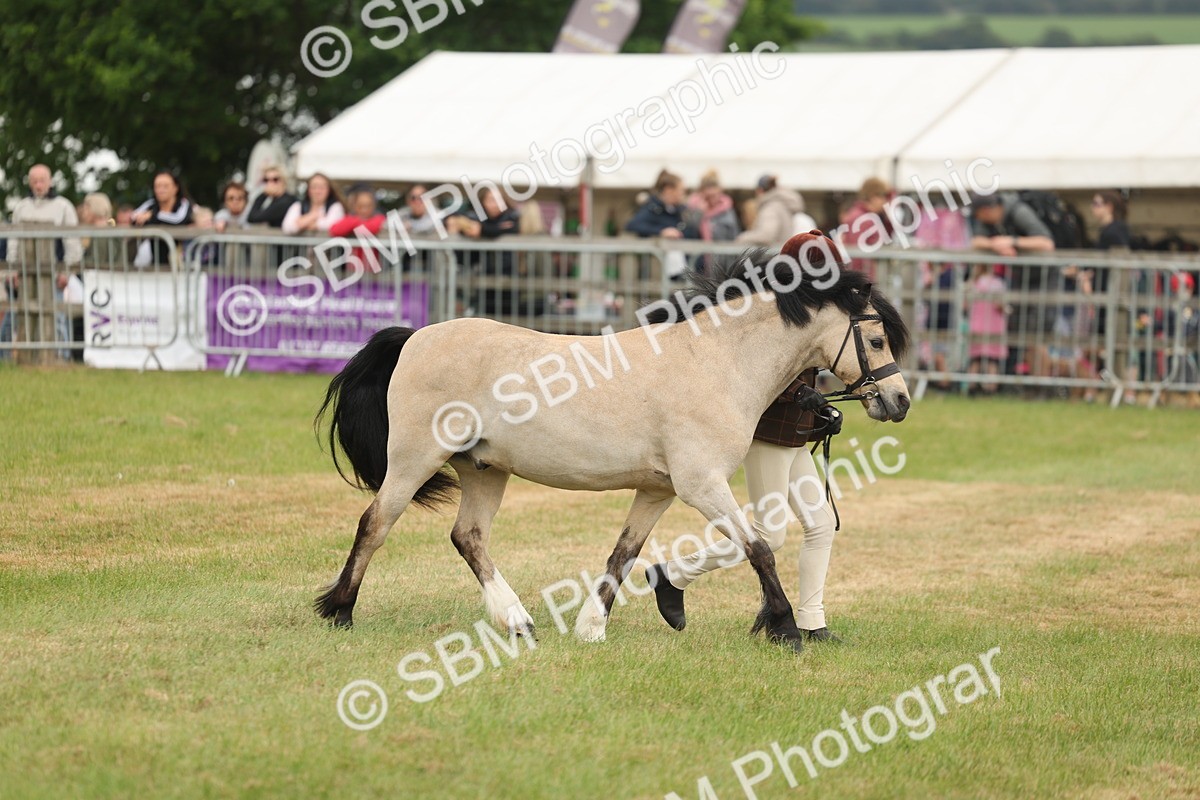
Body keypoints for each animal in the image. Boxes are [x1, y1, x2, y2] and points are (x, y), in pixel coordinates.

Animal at [314, 237, 910, 653]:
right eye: (877, 338)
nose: (899, 401)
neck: (717, 361)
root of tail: (415, 337)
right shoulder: (702, 485)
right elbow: (758, 548)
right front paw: (785, 628)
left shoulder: (659, 490)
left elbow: (624, 555)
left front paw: (592, 627)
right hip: (414, 460)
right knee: (376, 523)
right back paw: (340, 611)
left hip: (485, 469)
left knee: (468, 537)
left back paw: (518, 620)